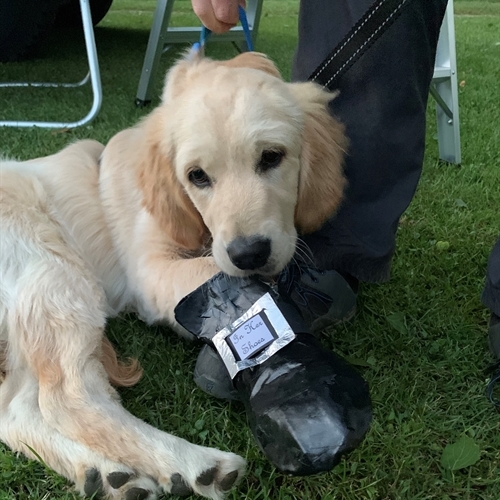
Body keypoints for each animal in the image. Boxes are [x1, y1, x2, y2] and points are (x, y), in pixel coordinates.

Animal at [0, 51, 346, 500]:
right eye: (197, 176)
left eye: (272, 157)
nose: (248, 253)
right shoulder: (150, 271)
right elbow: (214, 270)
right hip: (57, 276)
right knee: (67, 399)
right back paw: (195, 464)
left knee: (18, 410)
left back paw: (106, 474)